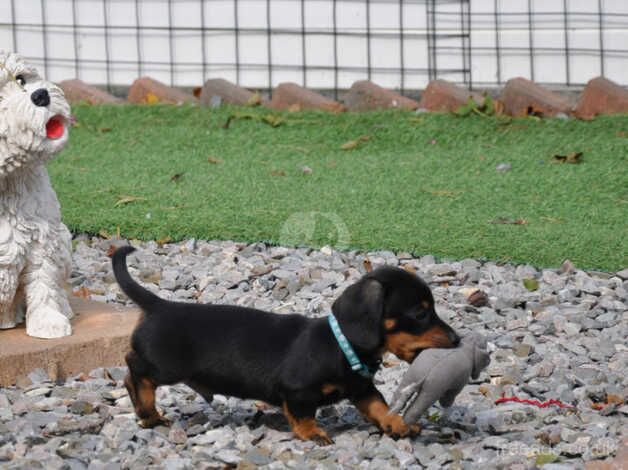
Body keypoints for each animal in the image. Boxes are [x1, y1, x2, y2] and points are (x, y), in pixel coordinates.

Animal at [113, 246, 458, 444]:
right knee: (134, 372)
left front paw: (397, 424)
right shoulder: (297, 391)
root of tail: (160, 305)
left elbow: (379, 406)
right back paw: (147, 410)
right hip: (165, 366)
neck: (341, 345)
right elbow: (303, 414)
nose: (457, 340)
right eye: (420, 313)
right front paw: (312, 433)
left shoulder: (361, 389)